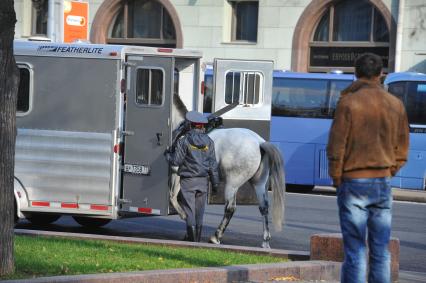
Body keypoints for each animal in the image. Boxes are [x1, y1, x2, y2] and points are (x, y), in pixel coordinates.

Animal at [170, 93, 286, 248]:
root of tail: (260, 143)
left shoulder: (178, 173)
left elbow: (174, 197)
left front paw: (184, 218)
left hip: (232, 184)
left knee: (230, 208)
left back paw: (216, 237)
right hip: (259, 183)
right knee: (264, 208)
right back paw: (265, 241)